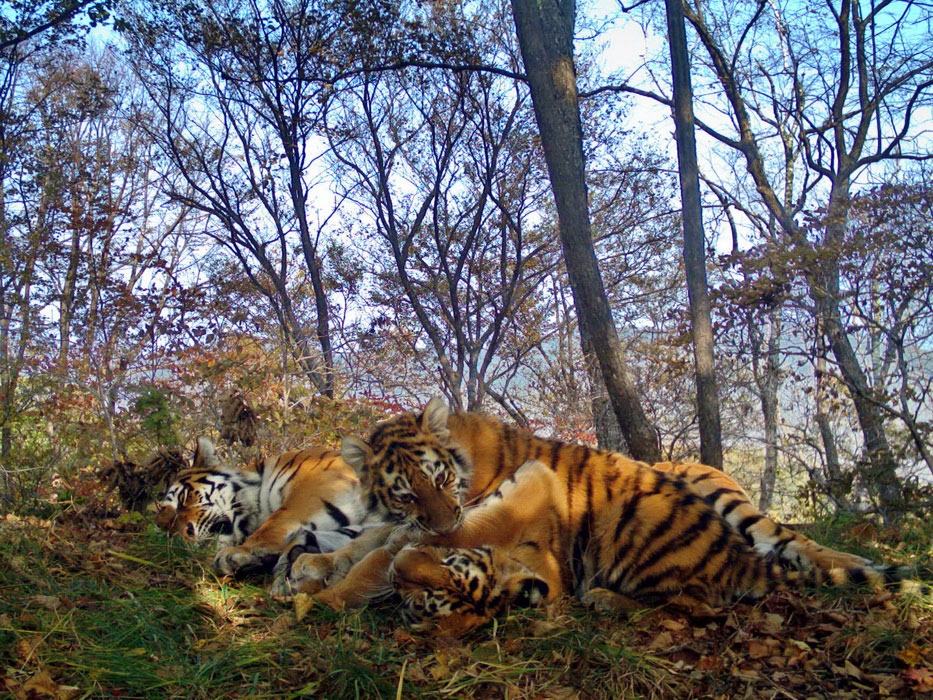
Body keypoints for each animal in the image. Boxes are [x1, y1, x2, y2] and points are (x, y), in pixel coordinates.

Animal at [155, 438, 374, 576]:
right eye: (166, 529)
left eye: (183, 499)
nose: (183, 537)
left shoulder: (317, 484)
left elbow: (276, 521)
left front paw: (240, 552)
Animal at [276, 400, 904, 612]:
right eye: (406, 492)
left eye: (440, 479)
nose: (447, 519)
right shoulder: (405, 523)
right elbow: (366, 542)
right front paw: (310, 567)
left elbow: (375, 559)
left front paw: (322, 596)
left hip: (729, 507)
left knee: (797, 543)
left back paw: (860, 565)